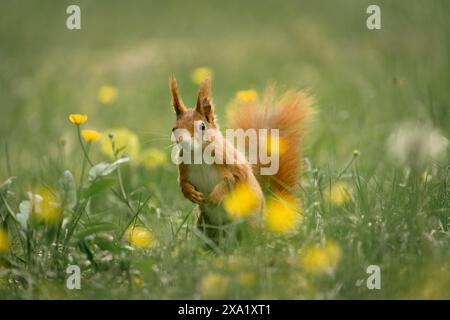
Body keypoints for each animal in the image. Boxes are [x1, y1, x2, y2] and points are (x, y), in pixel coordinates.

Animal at [169, 76, 312, 238]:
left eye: (202, 126)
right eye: (174, 128)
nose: (183, 141)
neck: (198, 153)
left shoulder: (229, 160)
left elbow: (234, 178)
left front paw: (214, 197)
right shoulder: (183, 167)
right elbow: (182, 182)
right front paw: (190, 193)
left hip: (248, 224)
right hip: (203, 223)